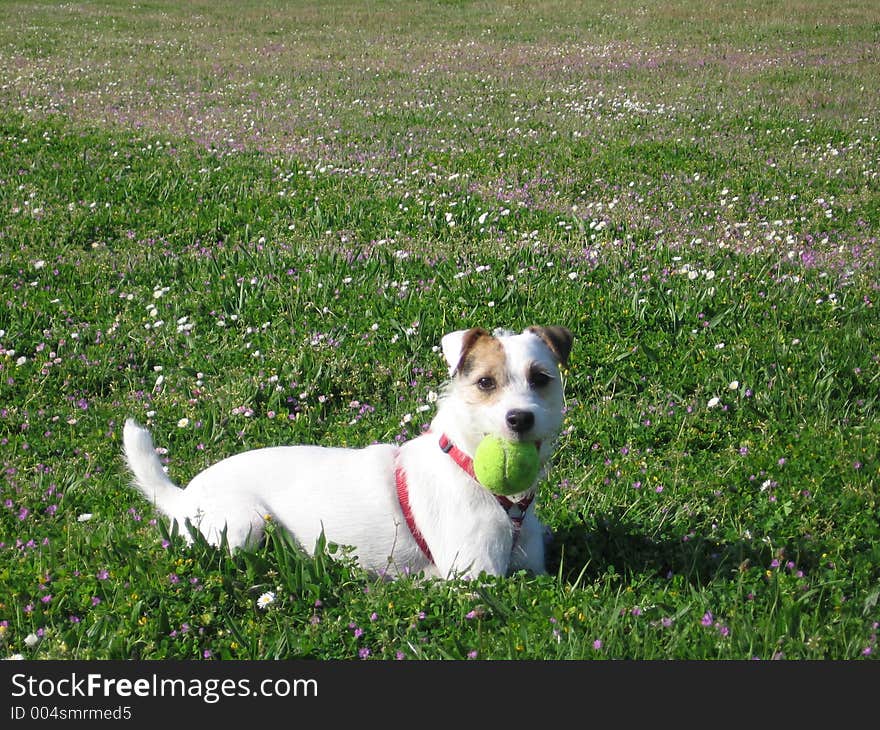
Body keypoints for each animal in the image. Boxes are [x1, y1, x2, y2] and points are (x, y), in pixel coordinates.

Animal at [124, 322, 576, 576]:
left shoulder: (532, 567)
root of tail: (181, 496)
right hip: (243, 523)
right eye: (485, 383)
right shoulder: (476, 575)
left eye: (541, 379)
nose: (520, 419)